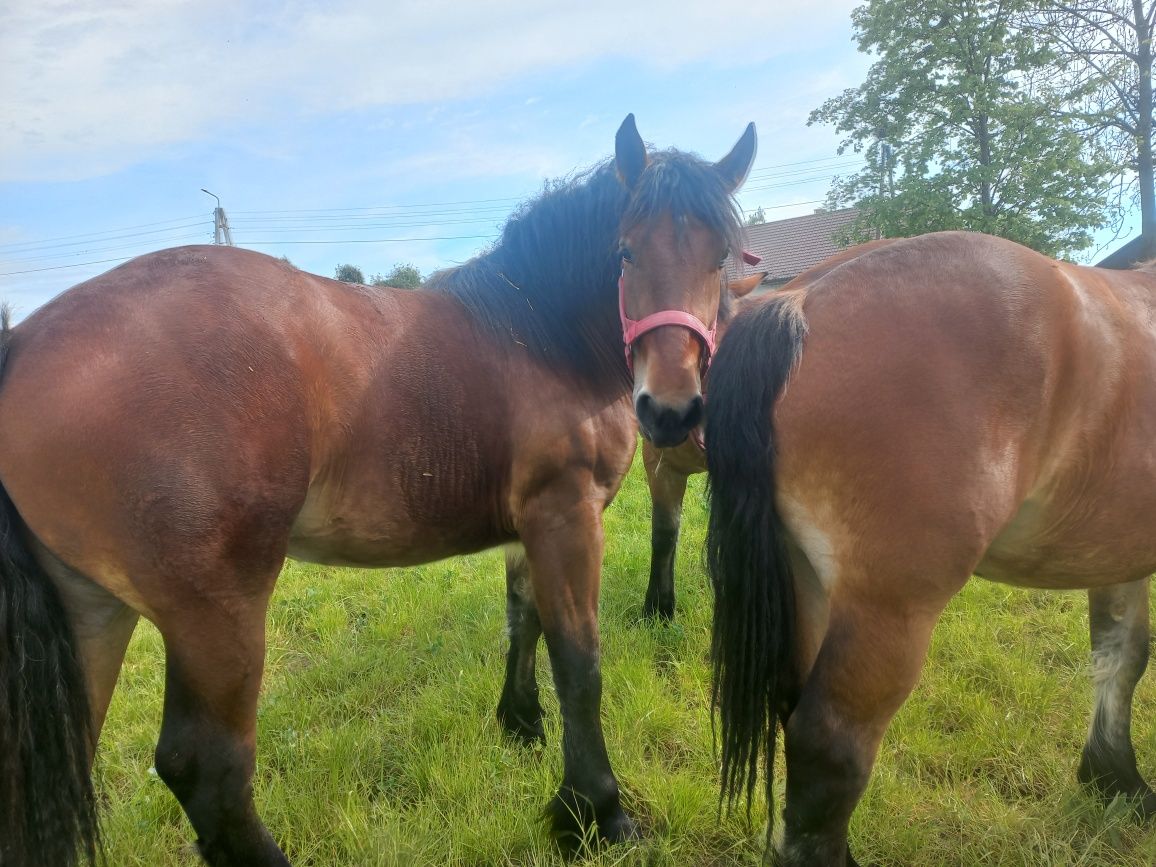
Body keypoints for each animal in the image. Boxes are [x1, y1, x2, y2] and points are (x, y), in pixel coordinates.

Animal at [0, 117, 753, 867]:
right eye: (625, 251)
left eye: (720, 256)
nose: (672, 410)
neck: (536, 331)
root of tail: (23, 343)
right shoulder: (566, 515)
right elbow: (579, 658)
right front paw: (595, 810)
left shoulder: (529, 528)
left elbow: (524, 619)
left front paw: (520, 723)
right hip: (213, 613)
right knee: (207, 768)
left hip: (92, 610)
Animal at [698, 232, 1156, 867]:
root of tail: (798, 301)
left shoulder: (1115, 557)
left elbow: (1120, 653)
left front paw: (1114, 777)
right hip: (889, 614)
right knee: (828, 743)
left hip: (801, 580)